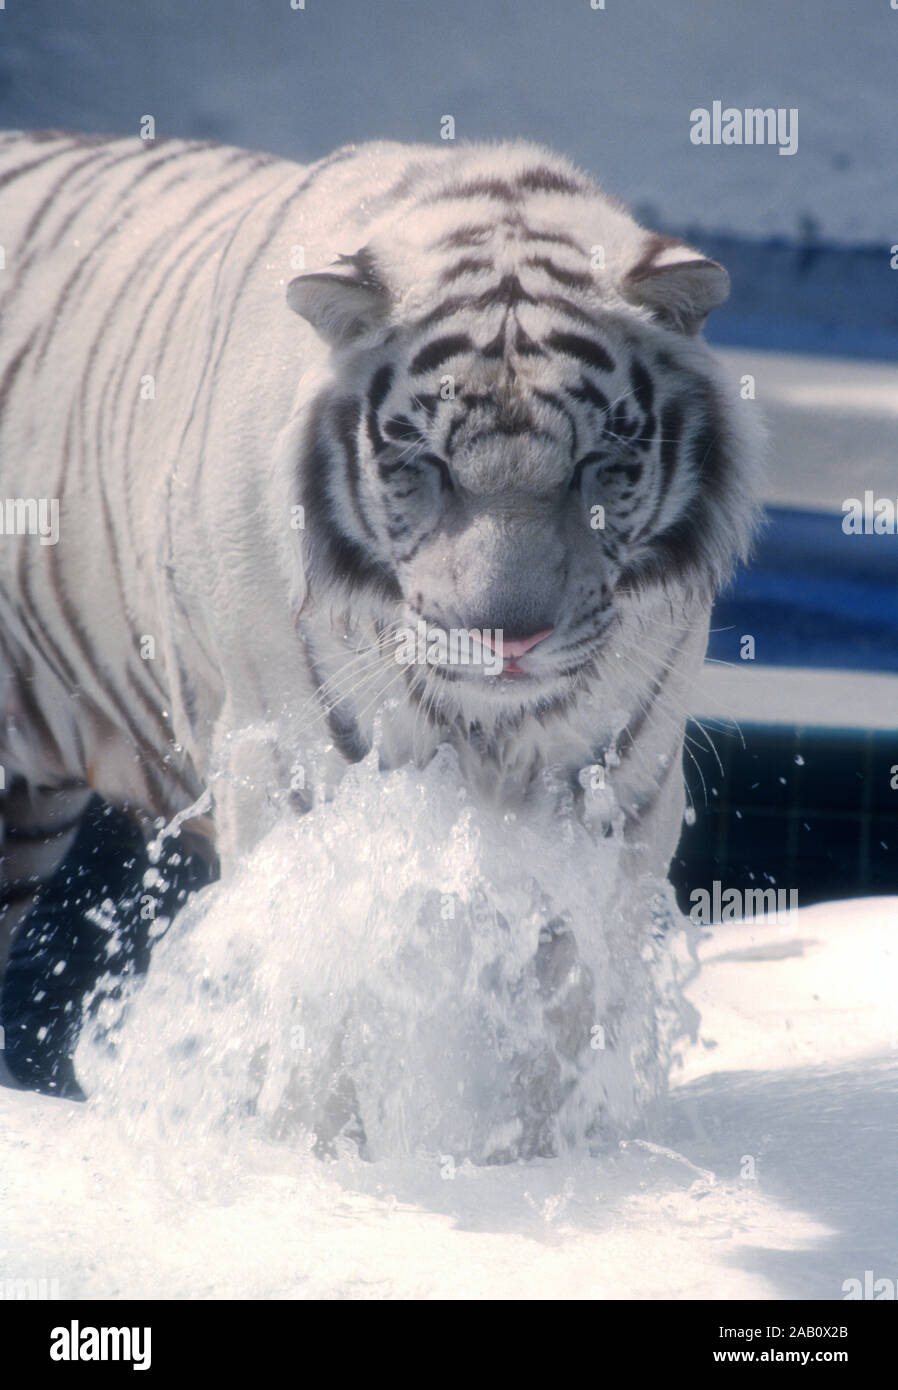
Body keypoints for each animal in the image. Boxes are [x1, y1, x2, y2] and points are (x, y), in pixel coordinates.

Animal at [0, 130, 760, 1003]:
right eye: (426, 463)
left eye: (595, 463)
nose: (509, 640)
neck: (494, 737)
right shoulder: (294, 781)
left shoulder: (617, 808)